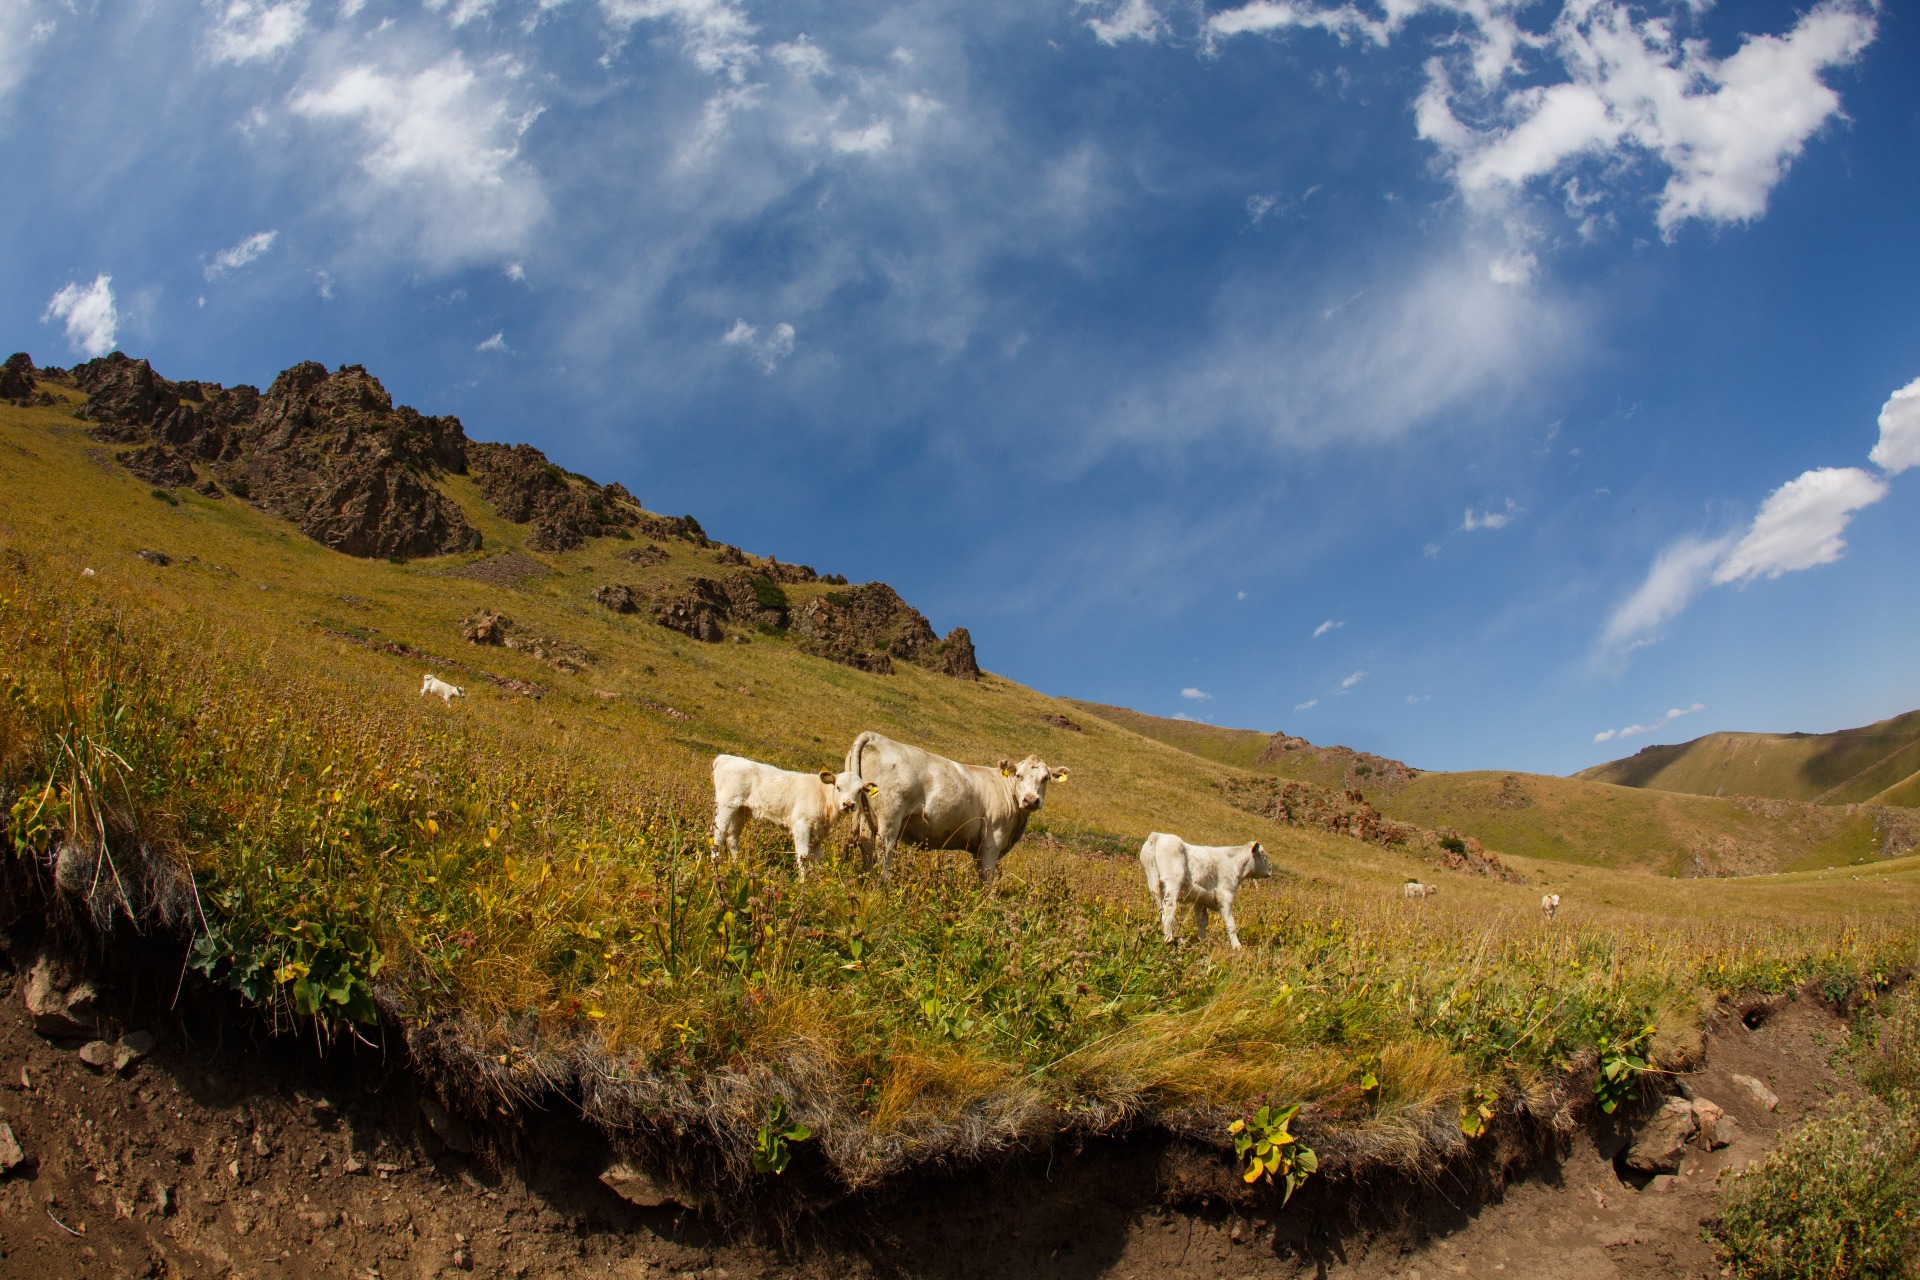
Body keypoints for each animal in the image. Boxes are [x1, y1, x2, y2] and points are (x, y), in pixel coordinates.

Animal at [711, 754, 870, 881]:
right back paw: (715, 864)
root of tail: (725, 757)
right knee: (718, 835)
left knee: (732, 837)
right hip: (726, 804)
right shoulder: (801, 826)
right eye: (838, 787)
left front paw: (815, 881)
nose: (848, 804)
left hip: (740, 810)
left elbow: (816, 859)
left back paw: (736, 865)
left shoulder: (818, 834)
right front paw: (802, 883)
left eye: (859, 790)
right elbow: (803, 856)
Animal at [845, 731, 1067, 883]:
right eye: (1018, 775)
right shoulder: (992, 841)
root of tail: (875, 737)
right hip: (889, 818)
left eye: (1045, 778)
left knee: (864, 845)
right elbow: (987, 880)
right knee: (884, 851)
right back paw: (884, 886)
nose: (1030, 800)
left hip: (865, 816)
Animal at [1140, 833, 1271, 949]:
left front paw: (1203, 942)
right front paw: (1237, 947)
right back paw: (1170, 940)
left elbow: (1202, 922)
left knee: (1161, 911)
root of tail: (1158, 835)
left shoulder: (1200, 901)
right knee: (1169, 912)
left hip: (1154, 884)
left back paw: (1179, 940)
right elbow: (1230, 923)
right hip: (1173, 883)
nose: (1270, 870)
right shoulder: (1226, 896)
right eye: (1264, 856)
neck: (1233, 864)